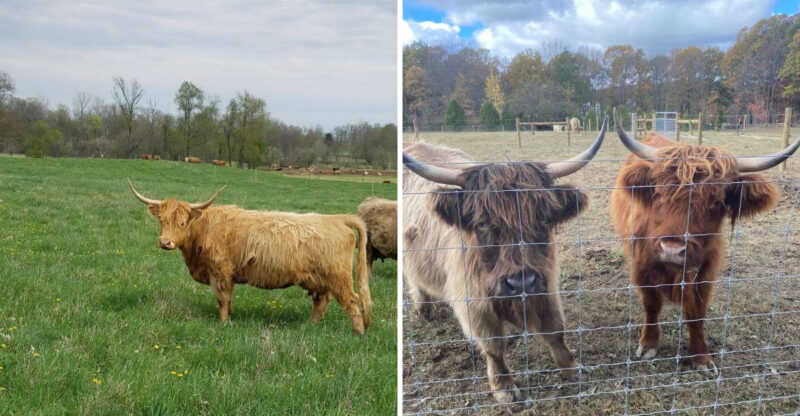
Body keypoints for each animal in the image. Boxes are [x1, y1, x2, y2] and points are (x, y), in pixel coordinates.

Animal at [127, 180, 372, 334]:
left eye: (181, 223)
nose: (165, 242)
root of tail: (337, 218)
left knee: (352, 300)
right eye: (162, 221)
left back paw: (358, 332)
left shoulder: (220, 271)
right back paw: (309, 326)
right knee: (322, 301)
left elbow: (222, 298)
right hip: (319, 279)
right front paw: (231, 316)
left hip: (338, 277)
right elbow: (229, 299)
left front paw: (223, 322)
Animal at [403, 118, 608, 403]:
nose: (521, 282)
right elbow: (493, 344)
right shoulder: (474, 301)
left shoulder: (545, 284)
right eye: (482, 223)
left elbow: (555, 329)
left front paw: (572, 369)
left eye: (543, 218)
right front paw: (504, 388)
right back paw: (424, 309)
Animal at [609, 109, 800, 376]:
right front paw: (648, 344)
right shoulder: (641, 265)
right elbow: (651, 304)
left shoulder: (707, 269)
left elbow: (697, 312)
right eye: (658, 193)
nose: (672, 250)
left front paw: (701, 356)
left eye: (716, 201)